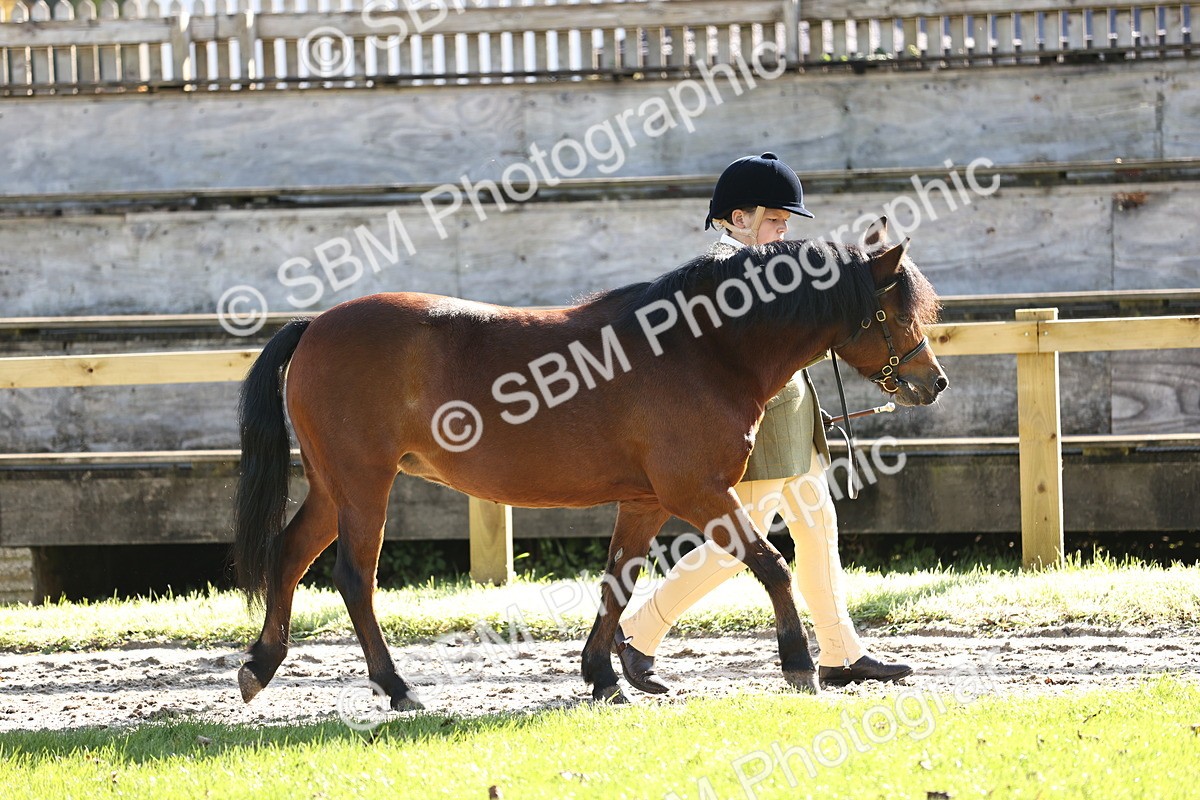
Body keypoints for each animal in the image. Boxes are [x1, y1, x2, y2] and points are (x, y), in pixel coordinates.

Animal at [232, 218, 947, 709]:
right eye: (890, 311)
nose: (933, 383)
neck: (702, 347)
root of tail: (316, 324)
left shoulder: (648, 500)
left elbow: (617, 582)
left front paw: (606, 676)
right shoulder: (699, 491)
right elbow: (771, 564)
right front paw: (799, 664)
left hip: (332, 487)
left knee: (289, 554)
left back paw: (260, 666)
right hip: (363, 486)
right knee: (354, 577)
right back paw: (397, 685)